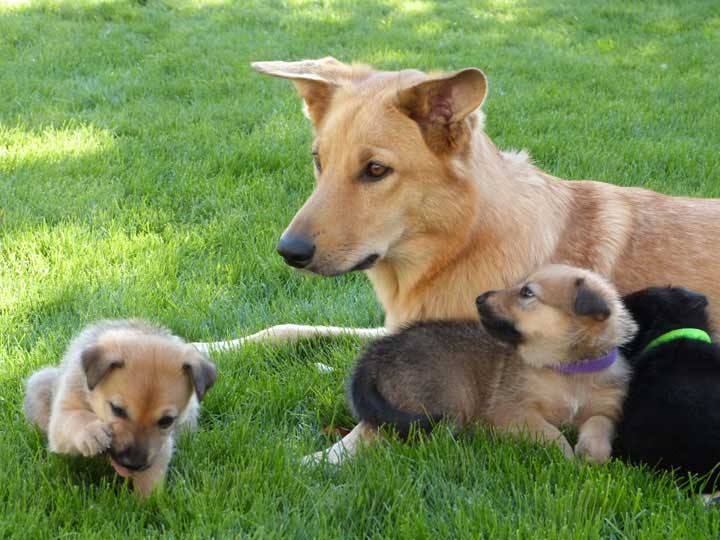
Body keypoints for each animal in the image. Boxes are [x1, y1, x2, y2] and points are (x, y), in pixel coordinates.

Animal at [25, 320, 217, 498]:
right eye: (117, 409)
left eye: (166, 421)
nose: (131, 464)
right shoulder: (62, 416)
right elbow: (75, 417)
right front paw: (92, 432)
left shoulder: (161, 447)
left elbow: (152, 476)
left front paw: (148, 504)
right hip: (40, 383)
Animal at [348, 264, 636, 464]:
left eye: (527, 292)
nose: (479, 298)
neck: (568, 369)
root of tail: (377, 354)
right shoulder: (513, 411)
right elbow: (549, 431)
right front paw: (564, 454)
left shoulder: (606, 411)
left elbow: (598, 427)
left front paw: (590, 455)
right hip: (451, 400)